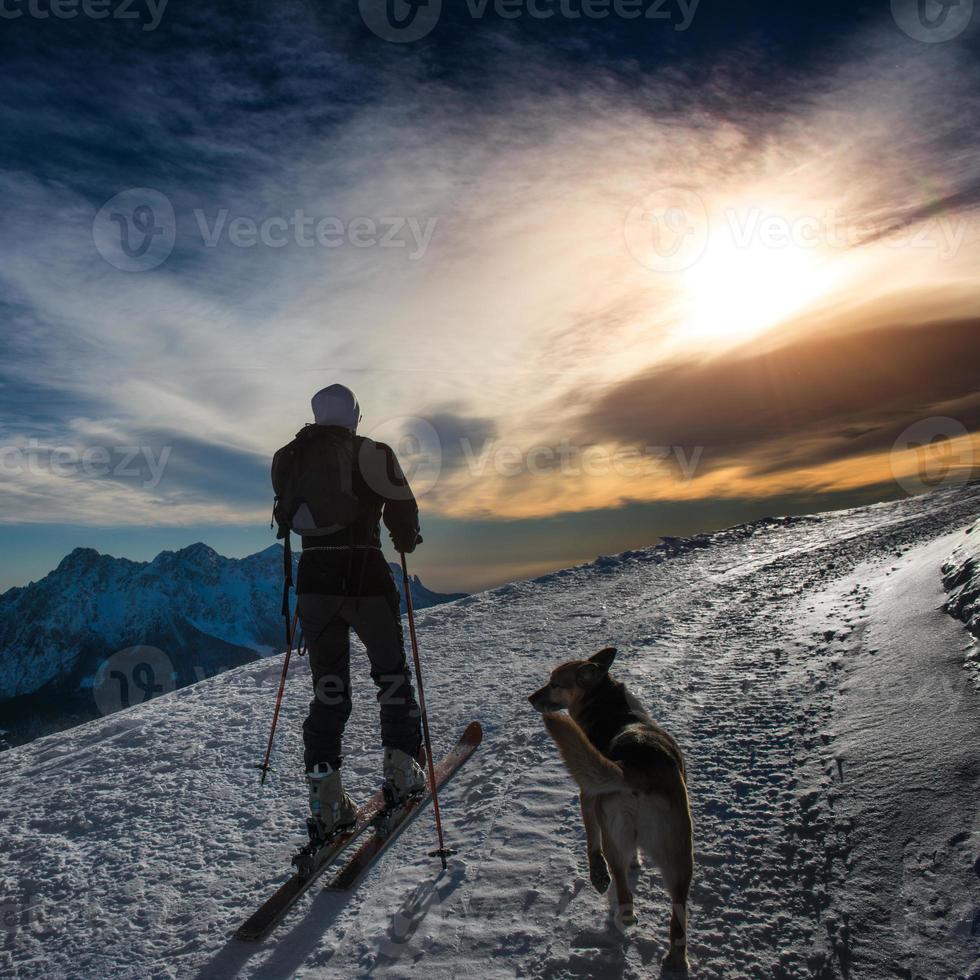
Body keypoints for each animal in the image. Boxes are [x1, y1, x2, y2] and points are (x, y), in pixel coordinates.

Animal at [528, 648, 696, 968]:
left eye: (554, 684)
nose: (531, 698)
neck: (609, 704)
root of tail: (634, 769)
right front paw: (637, 861)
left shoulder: (587, 795)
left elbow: (591, 840)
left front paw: (597, 871)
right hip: (680, 856)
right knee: (678, 917)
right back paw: (676, 960)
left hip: (614, 834)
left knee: (623, 888)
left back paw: (621, 912)